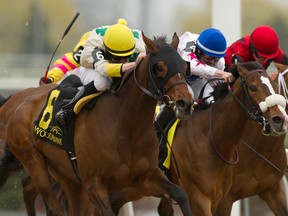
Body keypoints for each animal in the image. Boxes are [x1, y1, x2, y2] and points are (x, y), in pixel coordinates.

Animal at [0, 33, 194, 216]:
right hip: (34, 161)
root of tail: (19, 103)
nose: (185, 102)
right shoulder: (94, 183)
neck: (126, 126)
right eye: (160, 67)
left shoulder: (146, 177)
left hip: (67, 176)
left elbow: (181, 194)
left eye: (184, 66)